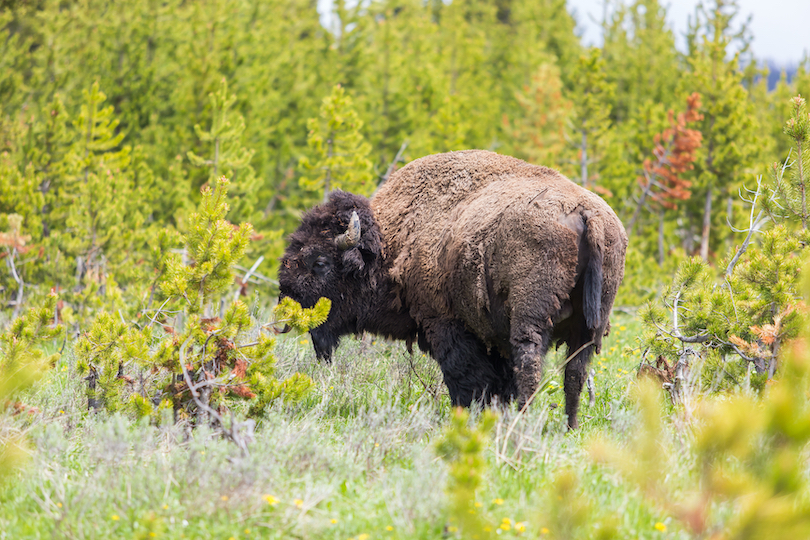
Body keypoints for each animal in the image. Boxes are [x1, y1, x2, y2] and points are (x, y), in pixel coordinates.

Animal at [278, 150, 624, 428]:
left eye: (320, 261)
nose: (286, 297)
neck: (392, 242)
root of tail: (584, 212)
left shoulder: (445, 324)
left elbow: (466, 378)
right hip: (590, 326)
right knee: (575, 374)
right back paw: (569, 428)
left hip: (530, 319)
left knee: (530, 369)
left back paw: (522, 424)